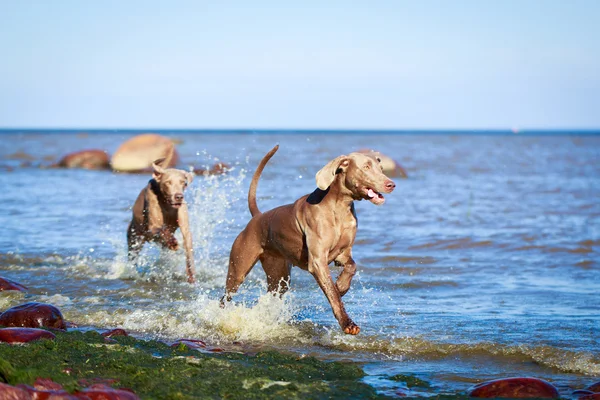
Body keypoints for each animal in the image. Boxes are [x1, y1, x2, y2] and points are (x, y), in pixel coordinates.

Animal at [223, 145, 396, 332]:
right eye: (366, 167)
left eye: (381, 168)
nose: (391, 184)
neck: (340, 207)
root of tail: (258, 217)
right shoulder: (318, 261)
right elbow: (333, 295)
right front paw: (347, 323)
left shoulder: (342, 253)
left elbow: (352, 266)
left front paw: (342, 285)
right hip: (239, 268)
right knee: (226, 296)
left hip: (279, 275)